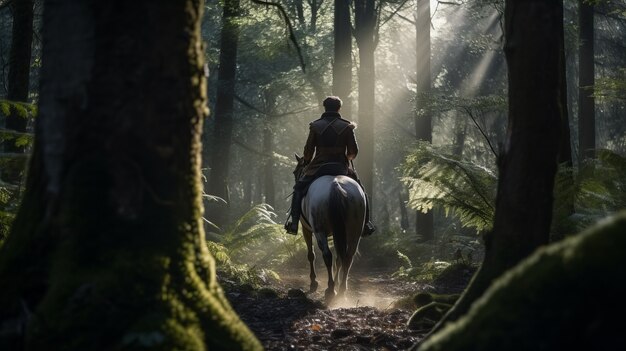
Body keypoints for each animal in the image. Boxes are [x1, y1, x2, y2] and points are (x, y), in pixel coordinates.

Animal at [292, 155, 366, 304]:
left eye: (295, 172)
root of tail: (335, 185)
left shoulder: (306, 229)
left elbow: (311, 255)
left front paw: (313, 282)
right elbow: (339, 259)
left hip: (319, 231)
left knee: (327, 255)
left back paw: (330, 290)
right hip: (354, 232)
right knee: (347, 256)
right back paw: (341, 290)